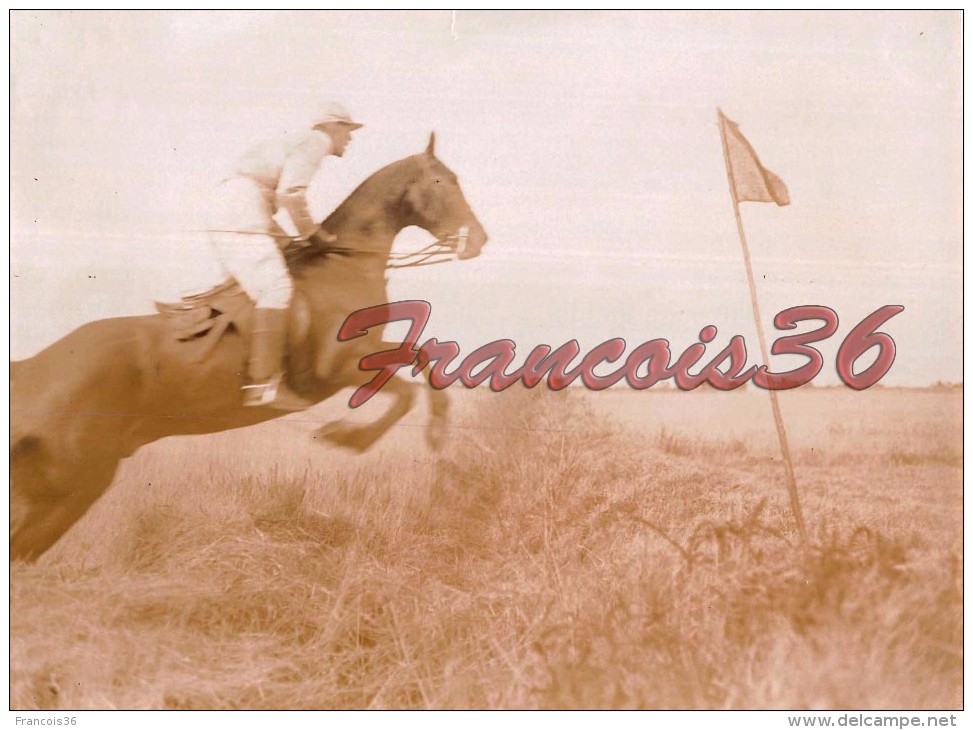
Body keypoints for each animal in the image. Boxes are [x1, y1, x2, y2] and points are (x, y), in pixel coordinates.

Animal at [11, 134, 490, 560]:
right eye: (442, 181)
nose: (478, 239)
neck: (345, 264)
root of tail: (32, 369)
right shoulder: (335, 370)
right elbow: (404, 392)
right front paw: (347, 437)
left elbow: (422, 356)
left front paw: (437, 429)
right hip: (70, 485)